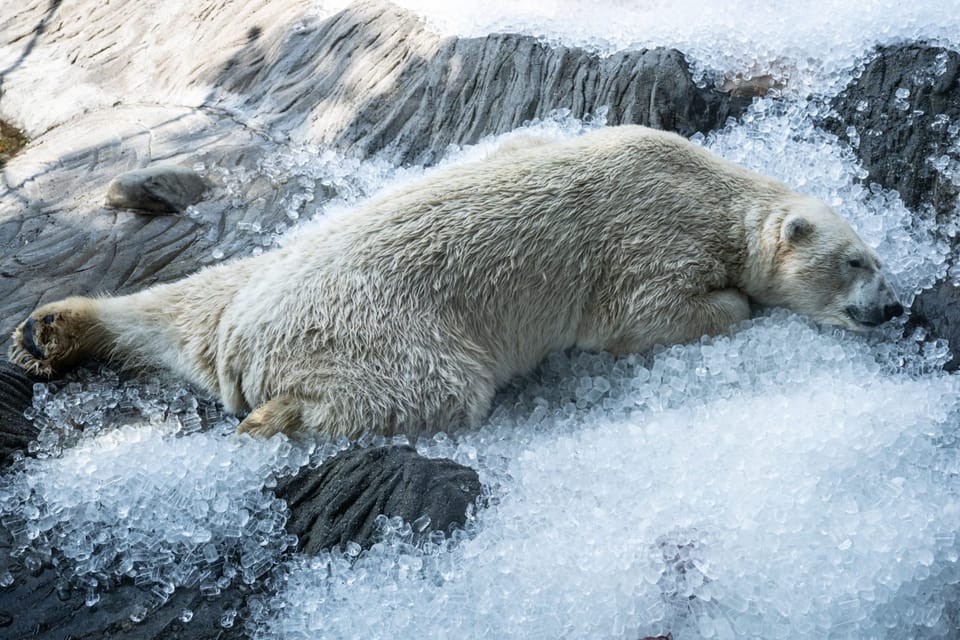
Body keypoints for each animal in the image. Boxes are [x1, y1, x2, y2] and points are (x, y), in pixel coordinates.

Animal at [9, 127, 900, 442]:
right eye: (858, 262)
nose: (892, 309)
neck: (707, 186)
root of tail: (246, 342)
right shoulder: (649, 237)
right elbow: (651, 314)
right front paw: (736, 302)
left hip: (245, 283)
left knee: (171, 308)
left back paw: (50, 329)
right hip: (380, 331)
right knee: (429, 389)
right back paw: (274, 418)